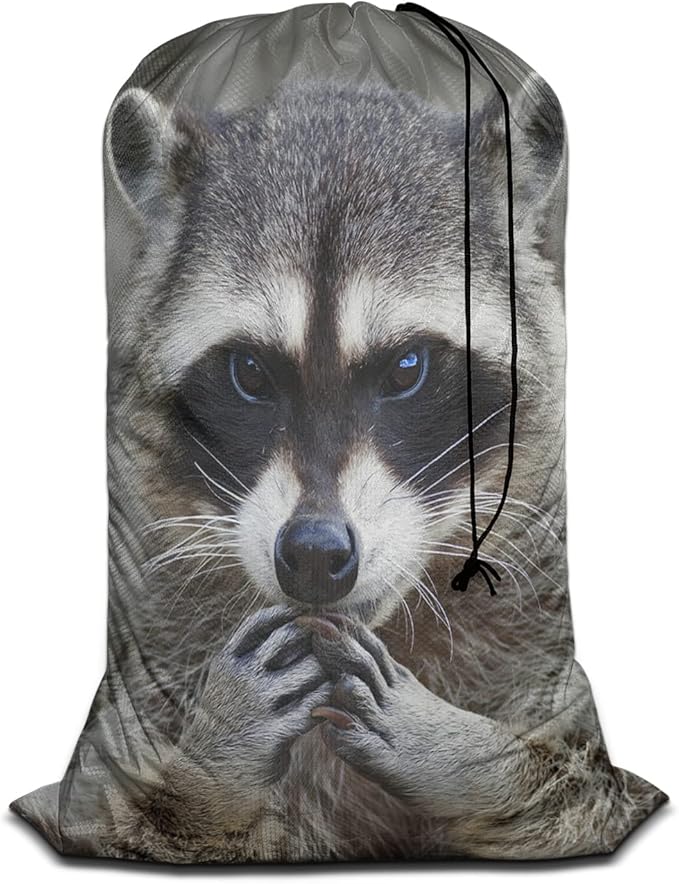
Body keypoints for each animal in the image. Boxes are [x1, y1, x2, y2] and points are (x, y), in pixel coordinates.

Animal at [15, 80, 664, 862]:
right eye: (250, 372)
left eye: (408, 368)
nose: (315, 553)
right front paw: (211, 763)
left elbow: (565, 789)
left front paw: (466, 756)